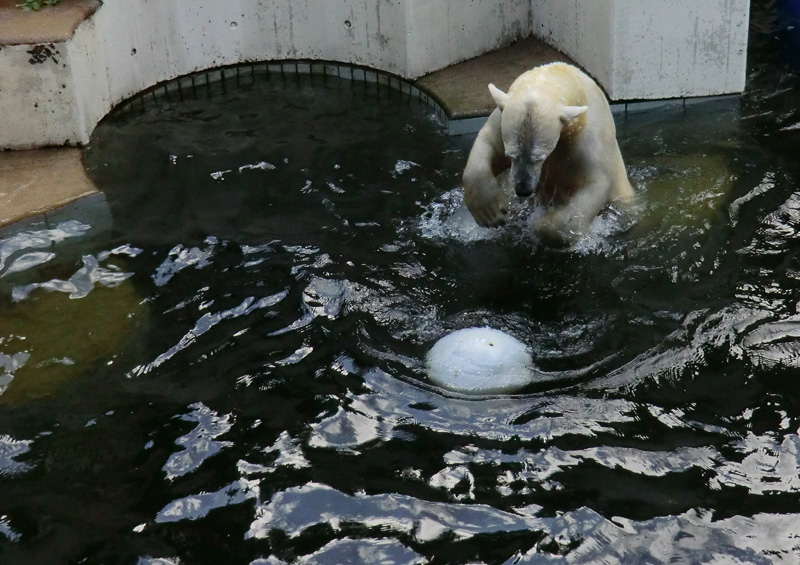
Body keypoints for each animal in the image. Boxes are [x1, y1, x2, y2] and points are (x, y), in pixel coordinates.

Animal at [460, 62, 636, 247]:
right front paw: (491, 213)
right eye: (511, 155)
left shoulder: (589, 133)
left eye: (539, 158)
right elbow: (488, 142)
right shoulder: (501, 118)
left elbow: (595, 181)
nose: (523, 189)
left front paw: (542, 224)